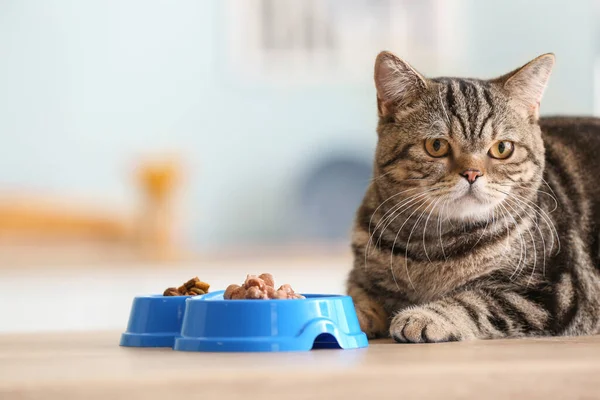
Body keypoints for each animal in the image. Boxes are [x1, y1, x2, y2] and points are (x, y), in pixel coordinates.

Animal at [344, 51, 600, 342]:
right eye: (436, 146)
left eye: (502, 148)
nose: (471, 173)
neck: (432, 248)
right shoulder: (360, 272)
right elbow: (356, 292)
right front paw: (353, 314)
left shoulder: (553, 293)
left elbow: (476, 301)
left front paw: (426, 316)